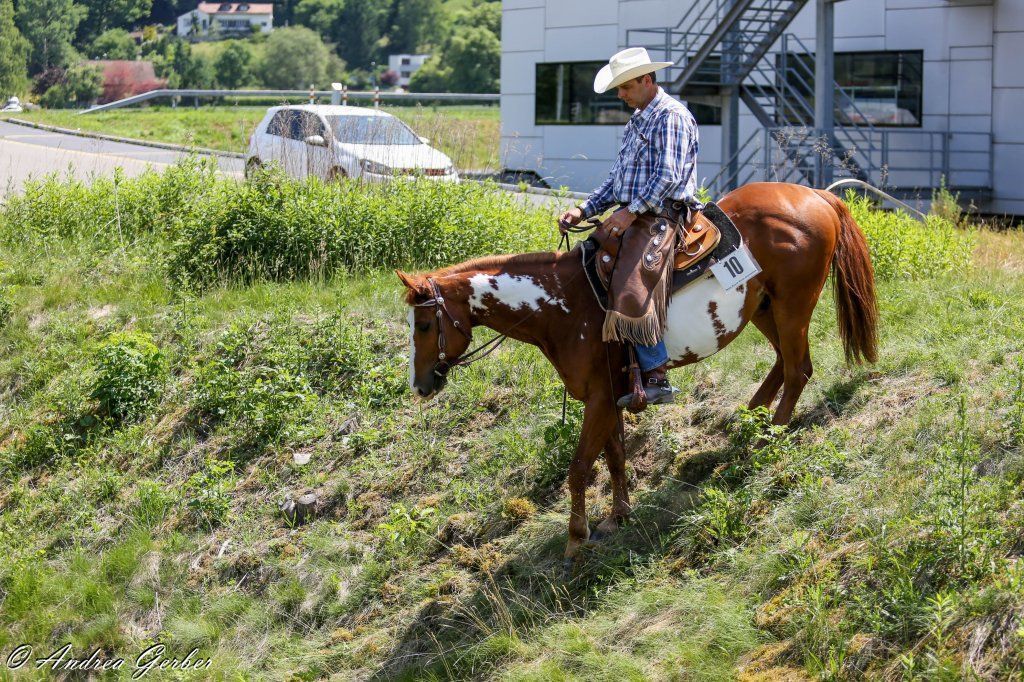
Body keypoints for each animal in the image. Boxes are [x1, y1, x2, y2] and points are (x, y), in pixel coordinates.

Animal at [397, 182, 878, 561]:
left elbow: (579, 467)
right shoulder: (610, 395)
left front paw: (576, 539)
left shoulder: (599, 398)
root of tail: (816, 195)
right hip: (763, 307)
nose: (420, 386)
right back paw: (749, 421)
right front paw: (618, 516)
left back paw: (767, 437)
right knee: (786, 363)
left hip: (793, 304)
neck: (562, 302)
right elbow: (614, 457)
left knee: (798, 370)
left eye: (423, 325)